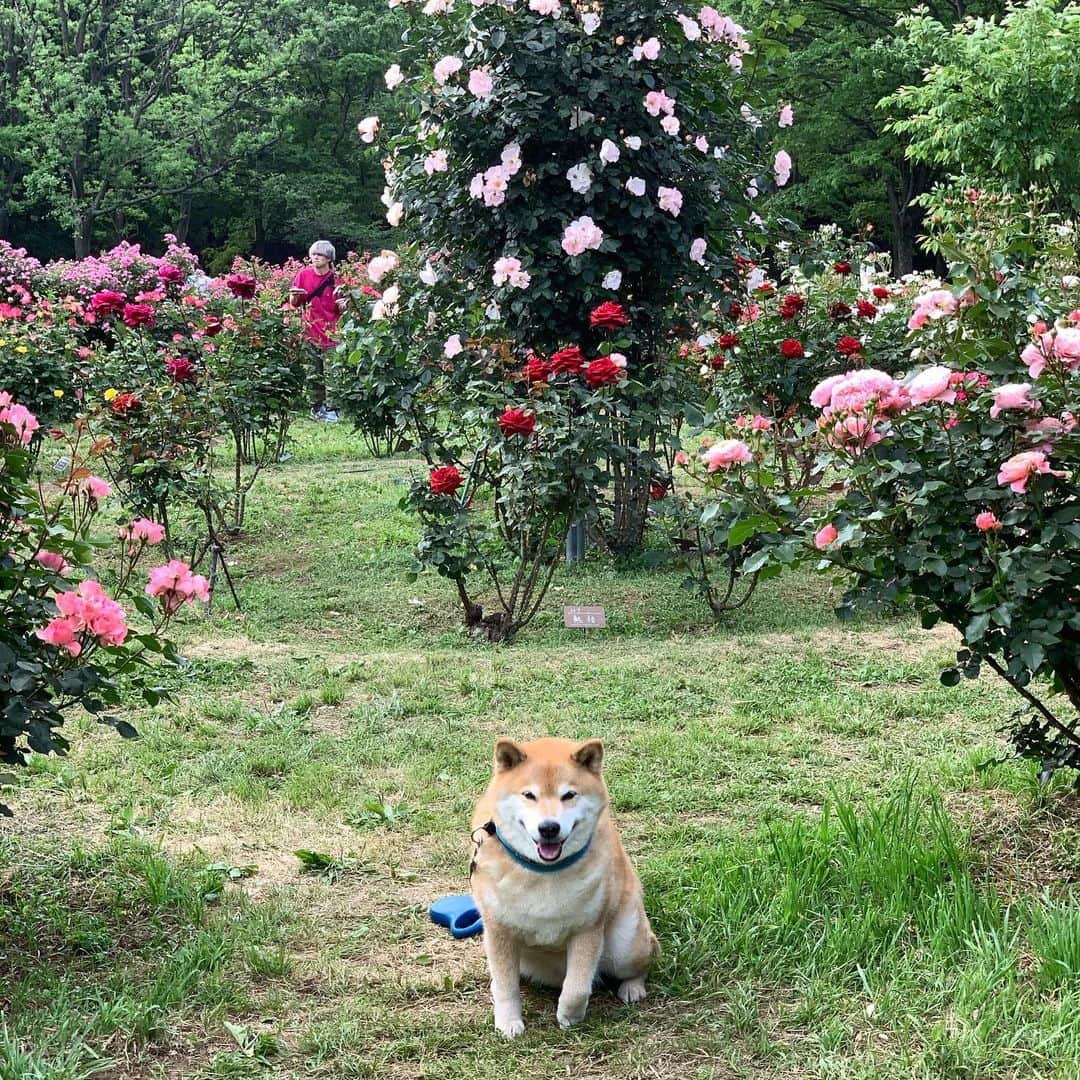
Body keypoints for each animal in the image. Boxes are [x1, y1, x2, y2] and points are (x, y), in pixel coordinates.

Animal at [470, 734, 656, 1036]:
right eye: (529, 795)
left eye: (569, 795)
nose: (549, 828)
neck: (543, 872)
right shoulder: (498, 931)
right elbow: (506, 985)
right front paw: (508, 1022)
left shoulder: (588, 929)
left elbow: (577, 988)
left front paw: (570, 1016)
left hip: (624, 948)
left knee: (644, 959)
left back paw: (633, 987)